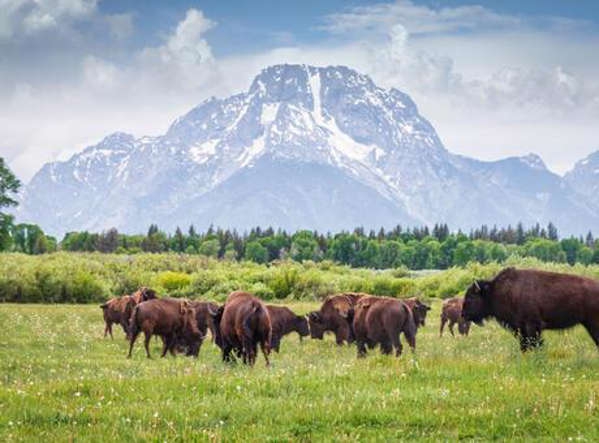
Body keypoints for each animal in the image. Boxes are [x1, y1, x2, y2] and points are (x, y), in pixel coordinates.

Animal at [464, 268, 599, 354]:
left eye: (471, 297)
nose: (463, 314)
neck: (494, 292)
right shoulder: (521, 328)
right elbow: (524, 345)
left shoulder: (532, 326)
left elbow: (535, 344)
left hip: (593, 324)